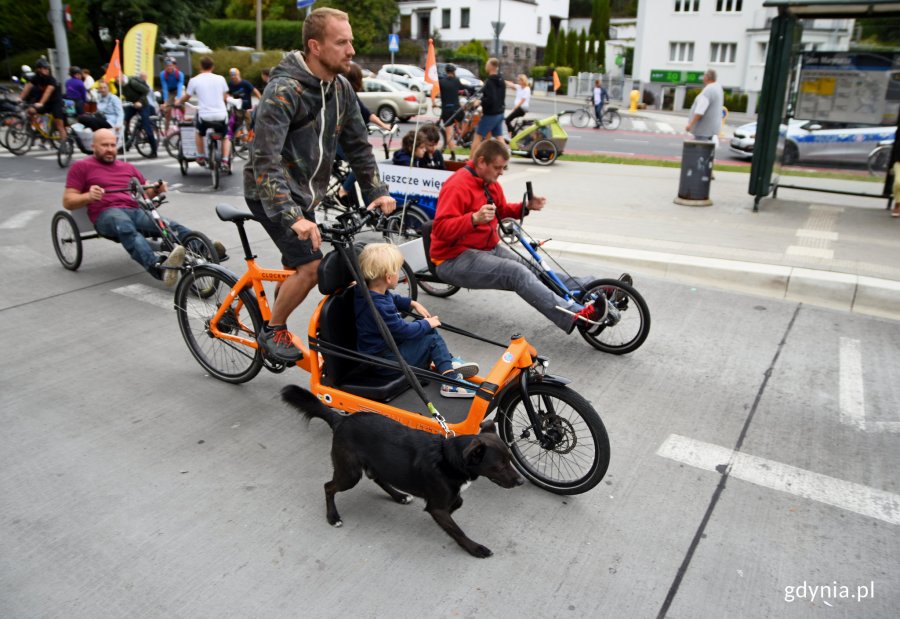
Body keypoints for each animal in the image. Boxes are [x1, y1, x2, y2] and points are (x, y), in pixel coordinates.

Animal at [278, 386, 524, 560]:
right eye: (499, 466)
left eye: (510, 460)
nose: (521, 481)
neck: (449, 458)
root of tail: (341, 419)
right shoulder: (437, 506)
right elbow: (457, 530)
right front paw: (475, 548)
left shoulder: (442, 501)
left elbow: (457, 502)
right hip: (350, 473)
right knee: (328, 487)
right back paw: (333, 517)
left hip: (377, 463)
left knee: (376, 477)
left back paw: (399, 496)